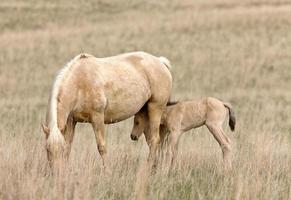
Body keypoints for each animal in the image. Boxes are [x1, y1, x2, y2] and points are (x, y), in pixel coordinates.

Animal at [42, 50, 172, 171]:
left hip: (155, 109)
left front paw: (107, 171)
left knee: (155, 140)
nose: (56, 172)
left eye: (61, 149)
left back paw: (148, 167)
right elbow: (69, 145)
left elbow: (102, 147)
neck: (80, 83)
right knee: (151, 141)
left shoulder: (97, 118)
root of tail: (160, 62)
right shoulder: (71, 121)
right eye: (48, 150)